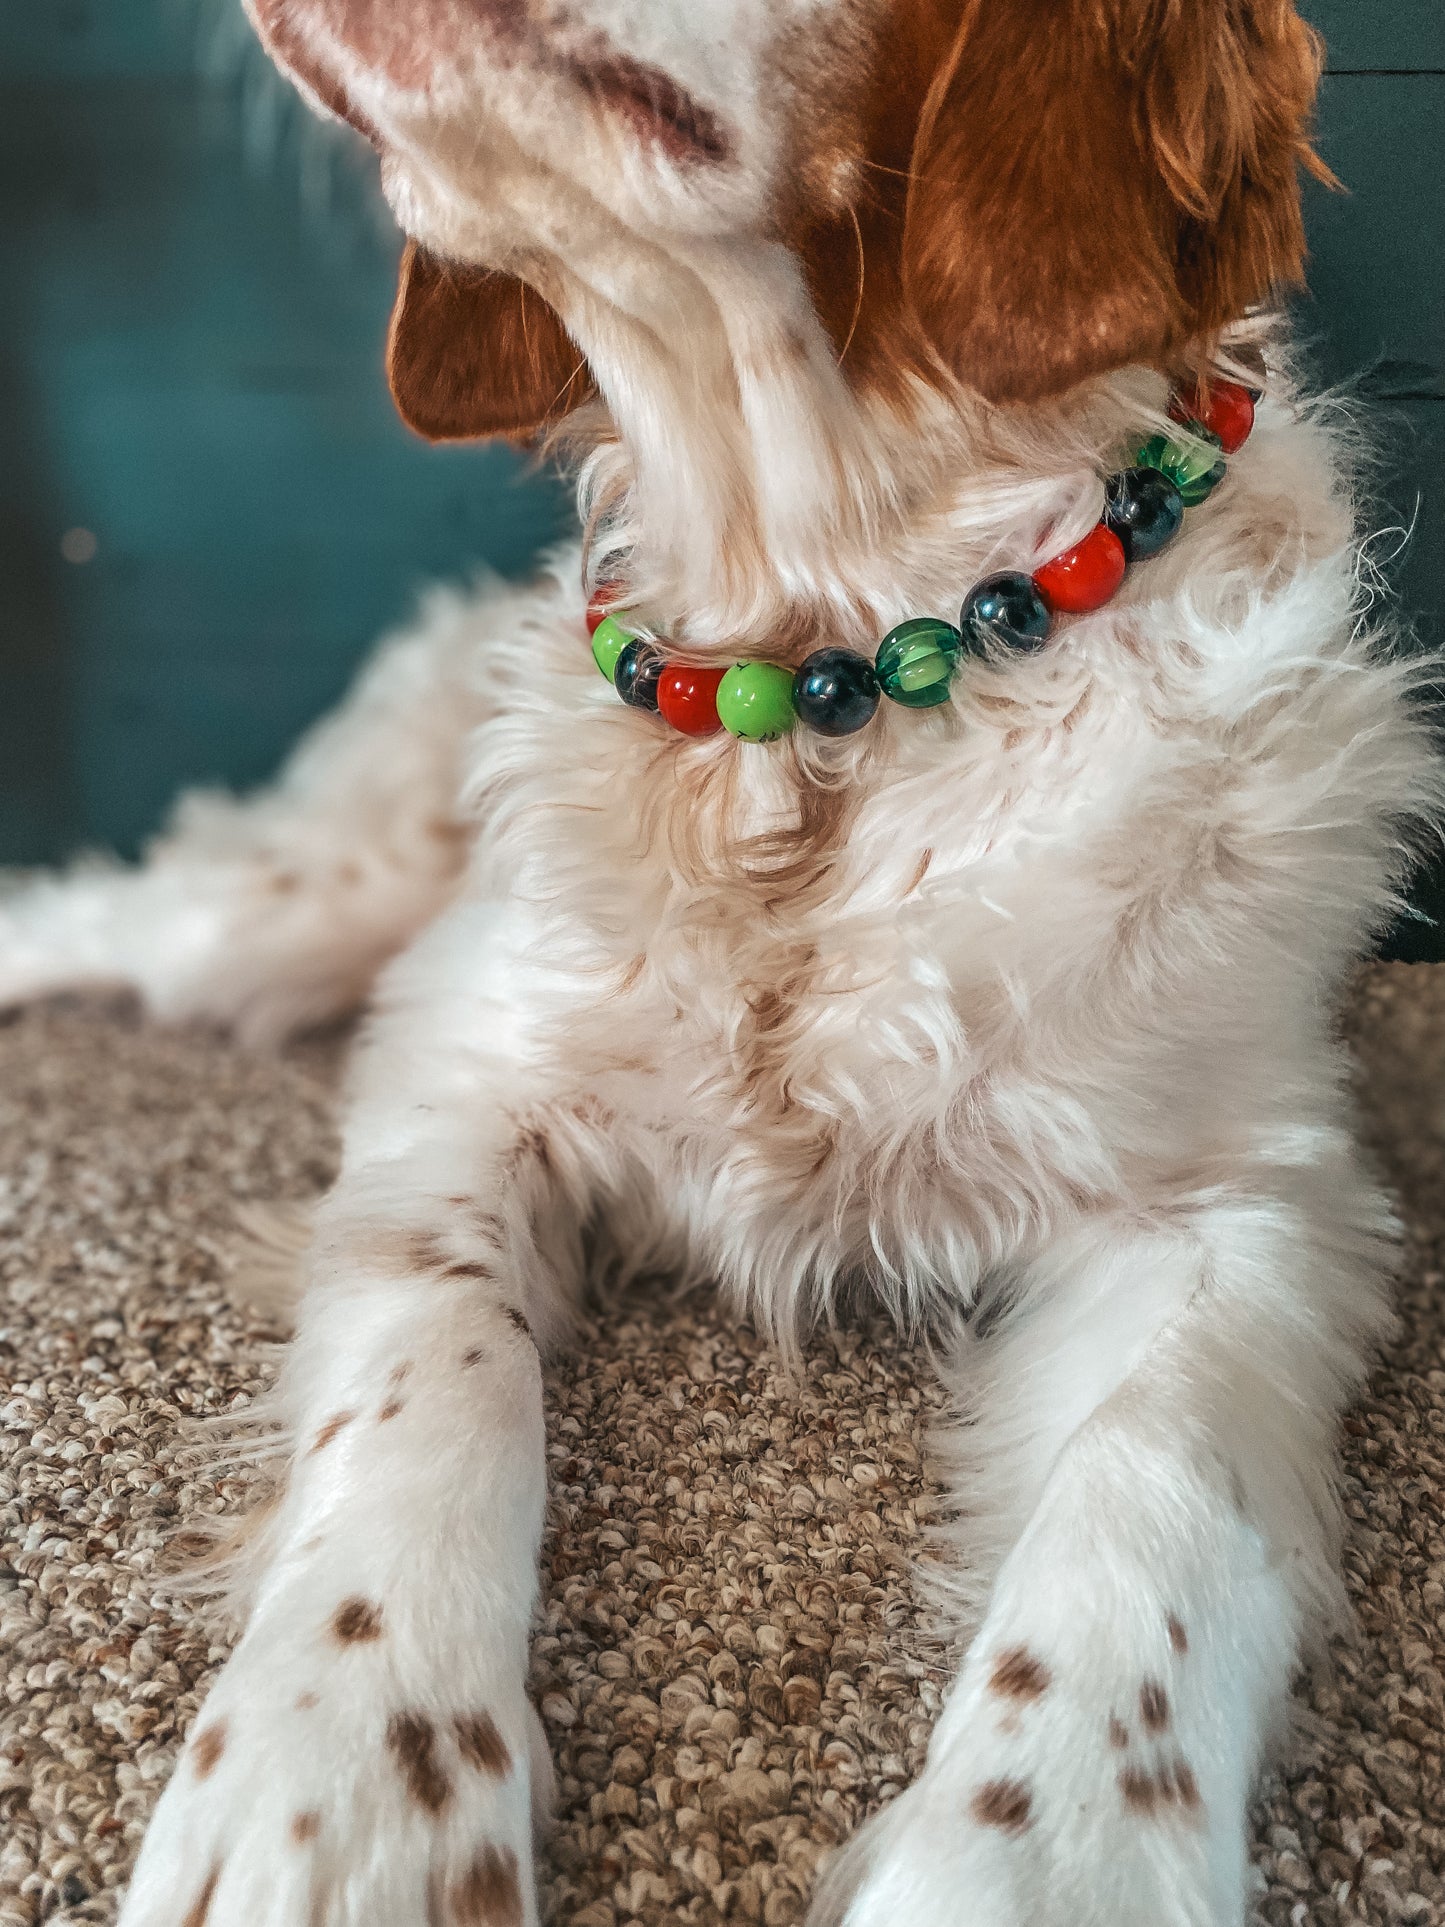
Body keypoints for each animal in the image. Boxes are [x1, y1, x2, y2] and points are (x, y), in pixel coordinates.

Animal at [5, 3, 1441, 1927]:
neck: (828, 688)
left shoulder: (1251, 1204)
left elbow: (1153, 1478)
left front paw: (1037, 1854)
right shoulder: (460, 1072)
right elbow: (446, 1356)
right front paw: (345, 1775)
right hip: (298, 908)